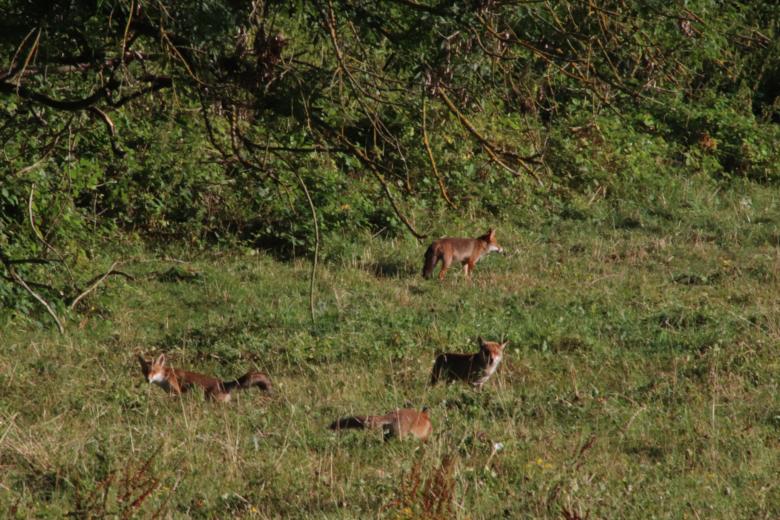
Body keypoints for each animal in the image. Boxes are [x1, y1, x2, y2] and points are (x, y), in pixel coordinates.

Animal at [137, 354, 272, 403]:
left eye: (154, 371)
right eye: (144, 372)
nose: (147, 380)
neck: (165, 377)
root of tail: (223, 383)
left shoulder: (177, 390)